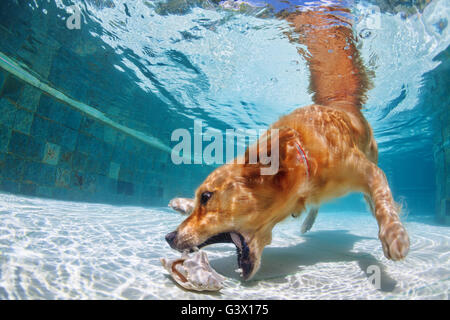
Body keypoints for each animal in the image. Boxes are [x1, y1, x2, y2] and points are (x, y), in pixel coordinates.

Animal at [164, 5, 408, 280]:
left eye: (206, 197)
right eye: (199, 198)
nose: (168, 237)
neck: (304, 161)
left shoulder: (367, 171)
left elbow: (381, 195)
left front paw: (394, 235)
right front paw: (182, 203)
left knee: (370, 196)